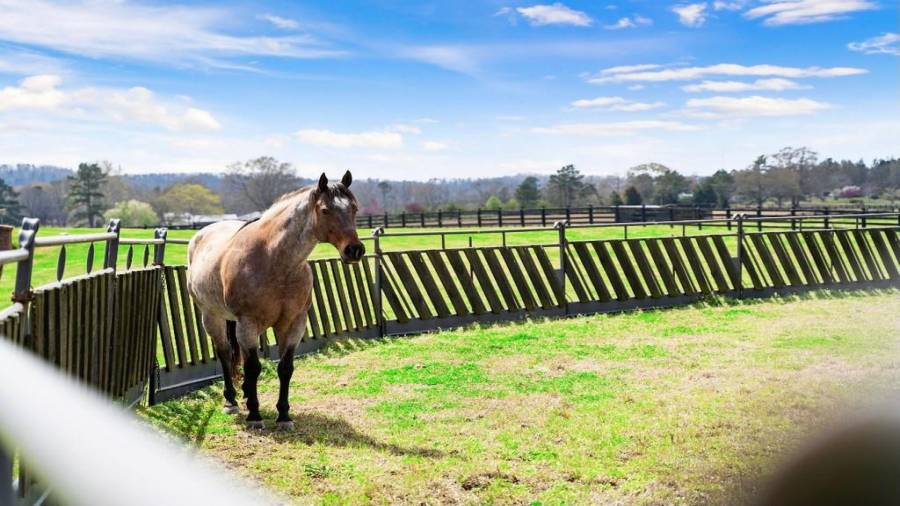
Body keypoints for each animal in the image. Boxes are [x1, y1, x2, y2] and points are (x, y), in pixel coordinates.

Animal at [187, 171, 364, 429]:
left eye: (354, 208)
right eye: (325, 210)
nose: (354, 250)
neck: (274, 260)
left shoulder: (293, 324)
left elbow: (285, 368)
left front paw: (284, 416)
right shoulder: (248, 323)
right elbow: (253, 367)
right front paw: (255, 415)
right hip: (212, 317)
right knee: (224, 354)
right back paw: (231, 401)